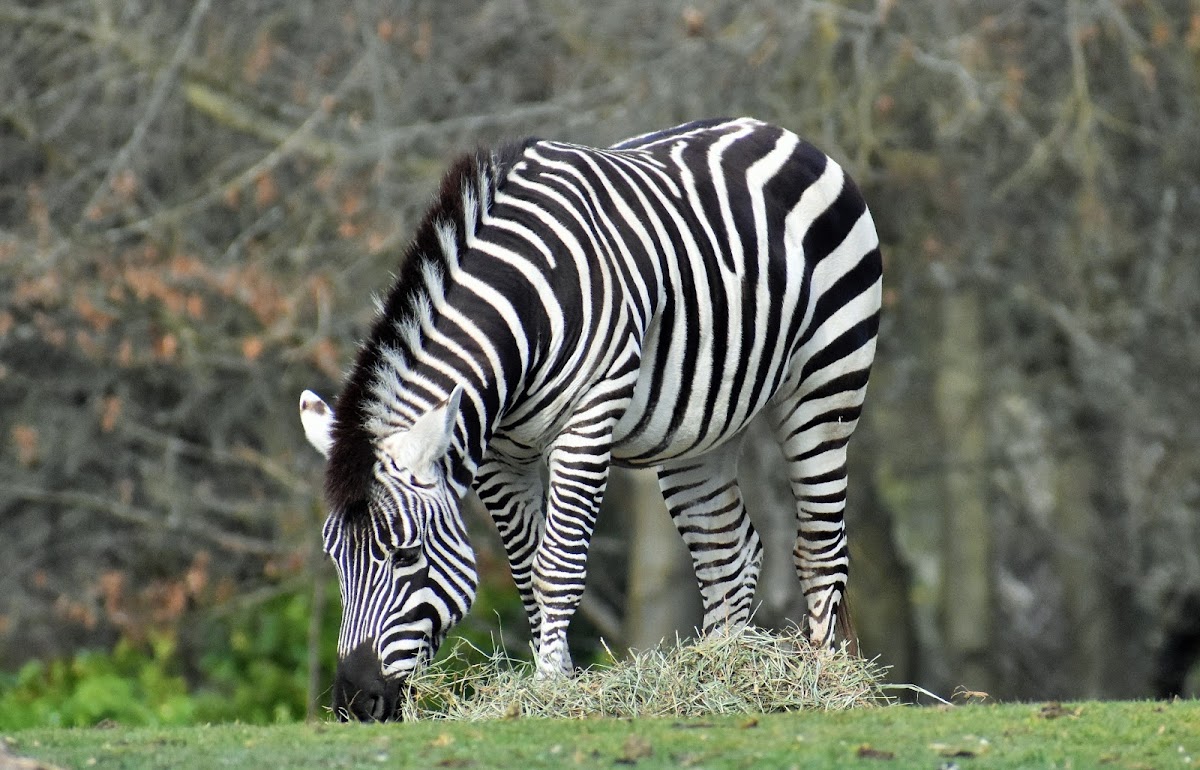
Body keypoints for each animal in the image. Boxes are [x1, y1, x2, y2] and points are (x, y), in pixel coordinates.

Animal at [300, 116, 883, 714]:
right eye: (335, 560)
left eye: (406, 555)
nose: (353, 702)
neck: (523, 303)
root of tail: (772, 129)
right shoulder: (499, 457)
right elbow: (527, 570)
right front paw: (552, 675)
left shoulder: (586, 423)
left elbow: (555, 567)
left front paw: (549, 690)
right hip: (700, 425)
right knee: (728, 553)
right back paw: (722, 676)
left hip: (826, 385)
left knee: (820, 548)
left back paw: (820, 688)